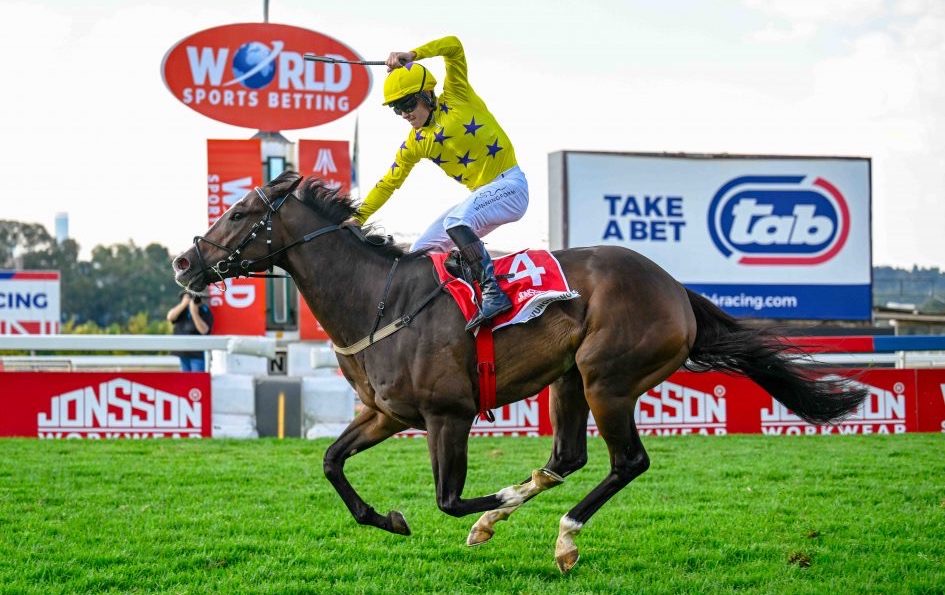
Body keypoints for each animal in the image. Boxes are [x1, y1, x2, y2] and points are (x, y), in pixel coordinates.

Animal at [171, 171, 872, 572]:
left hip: (607, 379)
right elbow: (331, 463)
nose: (183, 261)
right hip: (568, 379)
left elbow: (448, 499)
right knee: (567, 457)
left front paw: (492, 503)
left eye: (239, 213)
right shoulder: (385, 413)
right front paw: (389, 518)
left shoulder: (447, 414)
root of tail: (675, 287)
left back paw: (562, 537)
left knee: (626, 462)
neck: (378, 298)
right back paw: (520, 519)